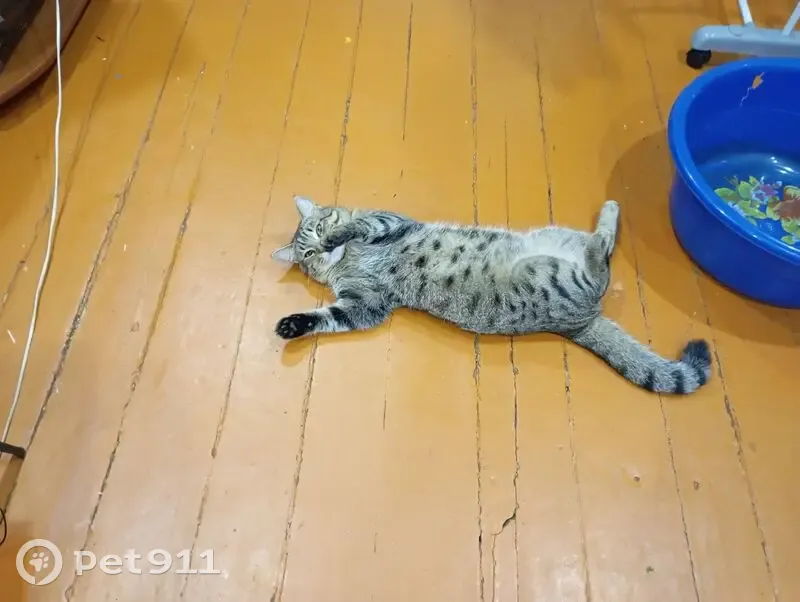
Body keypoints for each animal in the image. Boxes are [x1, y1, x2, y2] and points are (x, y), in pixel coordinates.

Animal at [271, 196, 712, 395]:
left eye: (320, 225)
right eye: (306, 255)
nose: (322, 248)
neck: (353, 260)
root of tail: (582, 321)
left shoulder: (387, 222)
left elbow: (359, 224)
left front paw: (340, 232)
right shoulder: (364, 305)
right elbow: (327, 318)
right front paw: (294, 324)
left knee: (603, 253)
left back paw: (610, 210)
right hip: (560, 270)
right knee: (601, 255)